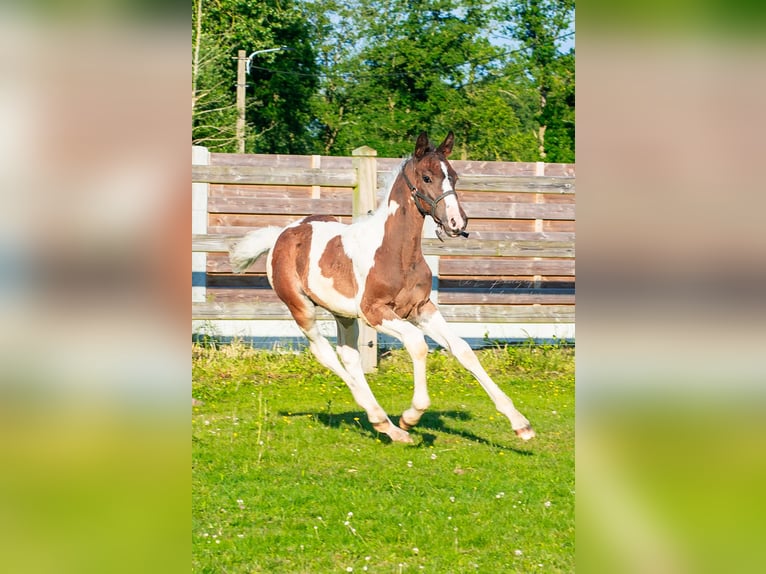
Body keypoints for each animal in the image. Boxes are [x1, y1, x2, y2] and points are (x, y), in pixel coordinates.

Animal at [230, 132, 536, 446]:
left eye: (454, 176)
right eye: (427, 177)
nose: (456, 222)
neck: (395, 252)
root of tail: (281, 234)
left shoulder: (421, 308)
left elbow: (462, 349)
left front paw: (520, 423)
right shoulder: (374, 312)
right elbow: (417, 343)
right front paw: (411, 415)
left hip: (344, 314)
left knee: (349, 356)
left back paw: (385, 424)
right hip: (301, 308)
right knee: (325, 353)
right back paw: (387, 423)